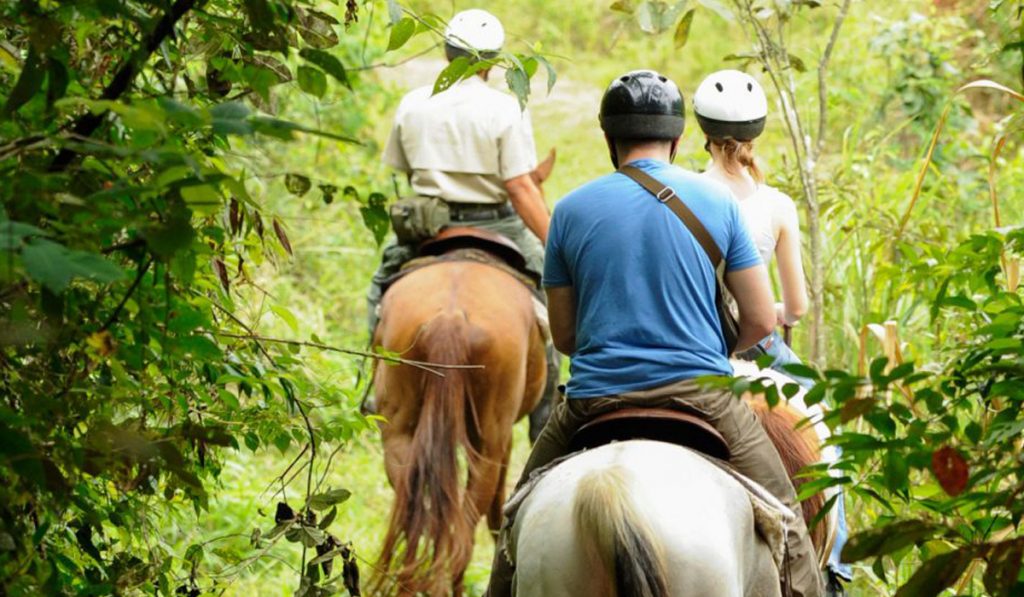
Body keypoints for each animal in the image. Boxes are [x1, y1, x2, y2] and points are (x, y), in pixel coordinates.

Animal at [372, 150, 557, 597]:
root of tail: (451, 318)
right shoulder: (505, 436)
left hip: (400, 432)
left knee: (423, 521)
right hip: (488, 437)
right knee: (462, 534)